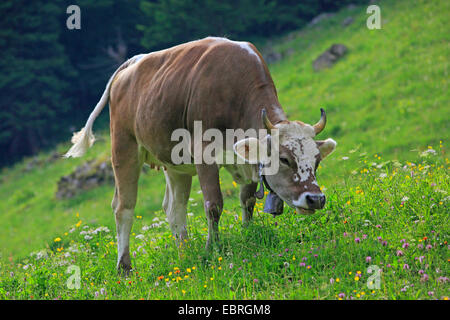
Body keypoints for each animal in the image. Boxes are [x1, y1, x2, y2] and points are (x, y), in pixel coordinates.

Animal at [65, 37, 336, 272]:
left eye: (317, 161)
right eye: (284, 159)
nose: (315, 199)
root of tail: (132, 63)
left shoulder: (244, 161)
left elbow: (247, 200)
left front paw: (248, 234)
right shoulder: (204, 151)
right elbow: (213, 205)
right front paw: (212, 249)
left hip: (174, 163)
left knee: (174, 208)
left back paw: (184, 254)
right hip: (124, 147)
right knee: (124, 207)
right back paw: (124, 267)